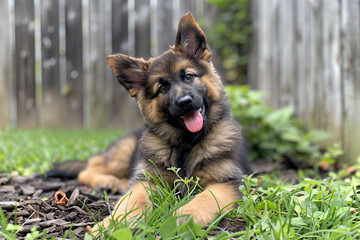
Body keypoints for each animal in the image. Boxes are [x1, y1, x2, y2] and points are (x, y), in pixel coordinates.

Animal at [49, 12, 249, 229]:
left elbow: (205, 198)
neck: (187, 144)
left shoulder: (227, 183)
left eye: (188, 76)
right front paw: (113, 225)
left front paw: (181, 217)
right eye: (162, 88)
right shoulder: (147, 180)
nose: (185, 102)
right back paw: (108, 181)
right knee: (88, 169)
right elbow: (132, 201)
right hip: (124, 153)